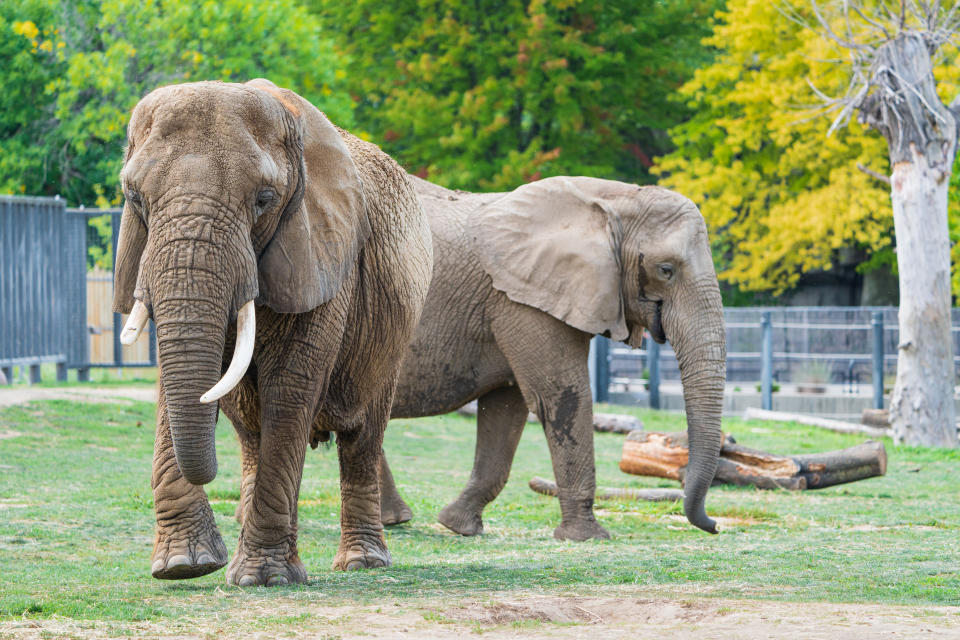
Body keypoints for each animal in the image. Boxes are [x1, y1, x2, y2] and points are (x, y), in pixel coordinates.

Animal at [110, 79, 434, 584]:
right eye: (135, 197)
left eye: (264, 199)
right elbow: (172, 379)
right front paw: (185, 566)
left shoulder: (321, 250)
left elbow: (292, 384)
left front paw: (262, 578)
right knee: (252, 433)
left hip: (392, 336)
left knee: (362, 436)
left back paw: (362, 562)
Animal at [378, 174, 724, 540]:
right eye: (666, 270)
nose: (714, 526)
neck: (615, 197)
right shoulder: (523, 302)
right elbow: (561, 397)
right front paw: (586, 537)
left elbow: (506, 408)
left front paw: (458, 525)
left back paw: (394, 519)